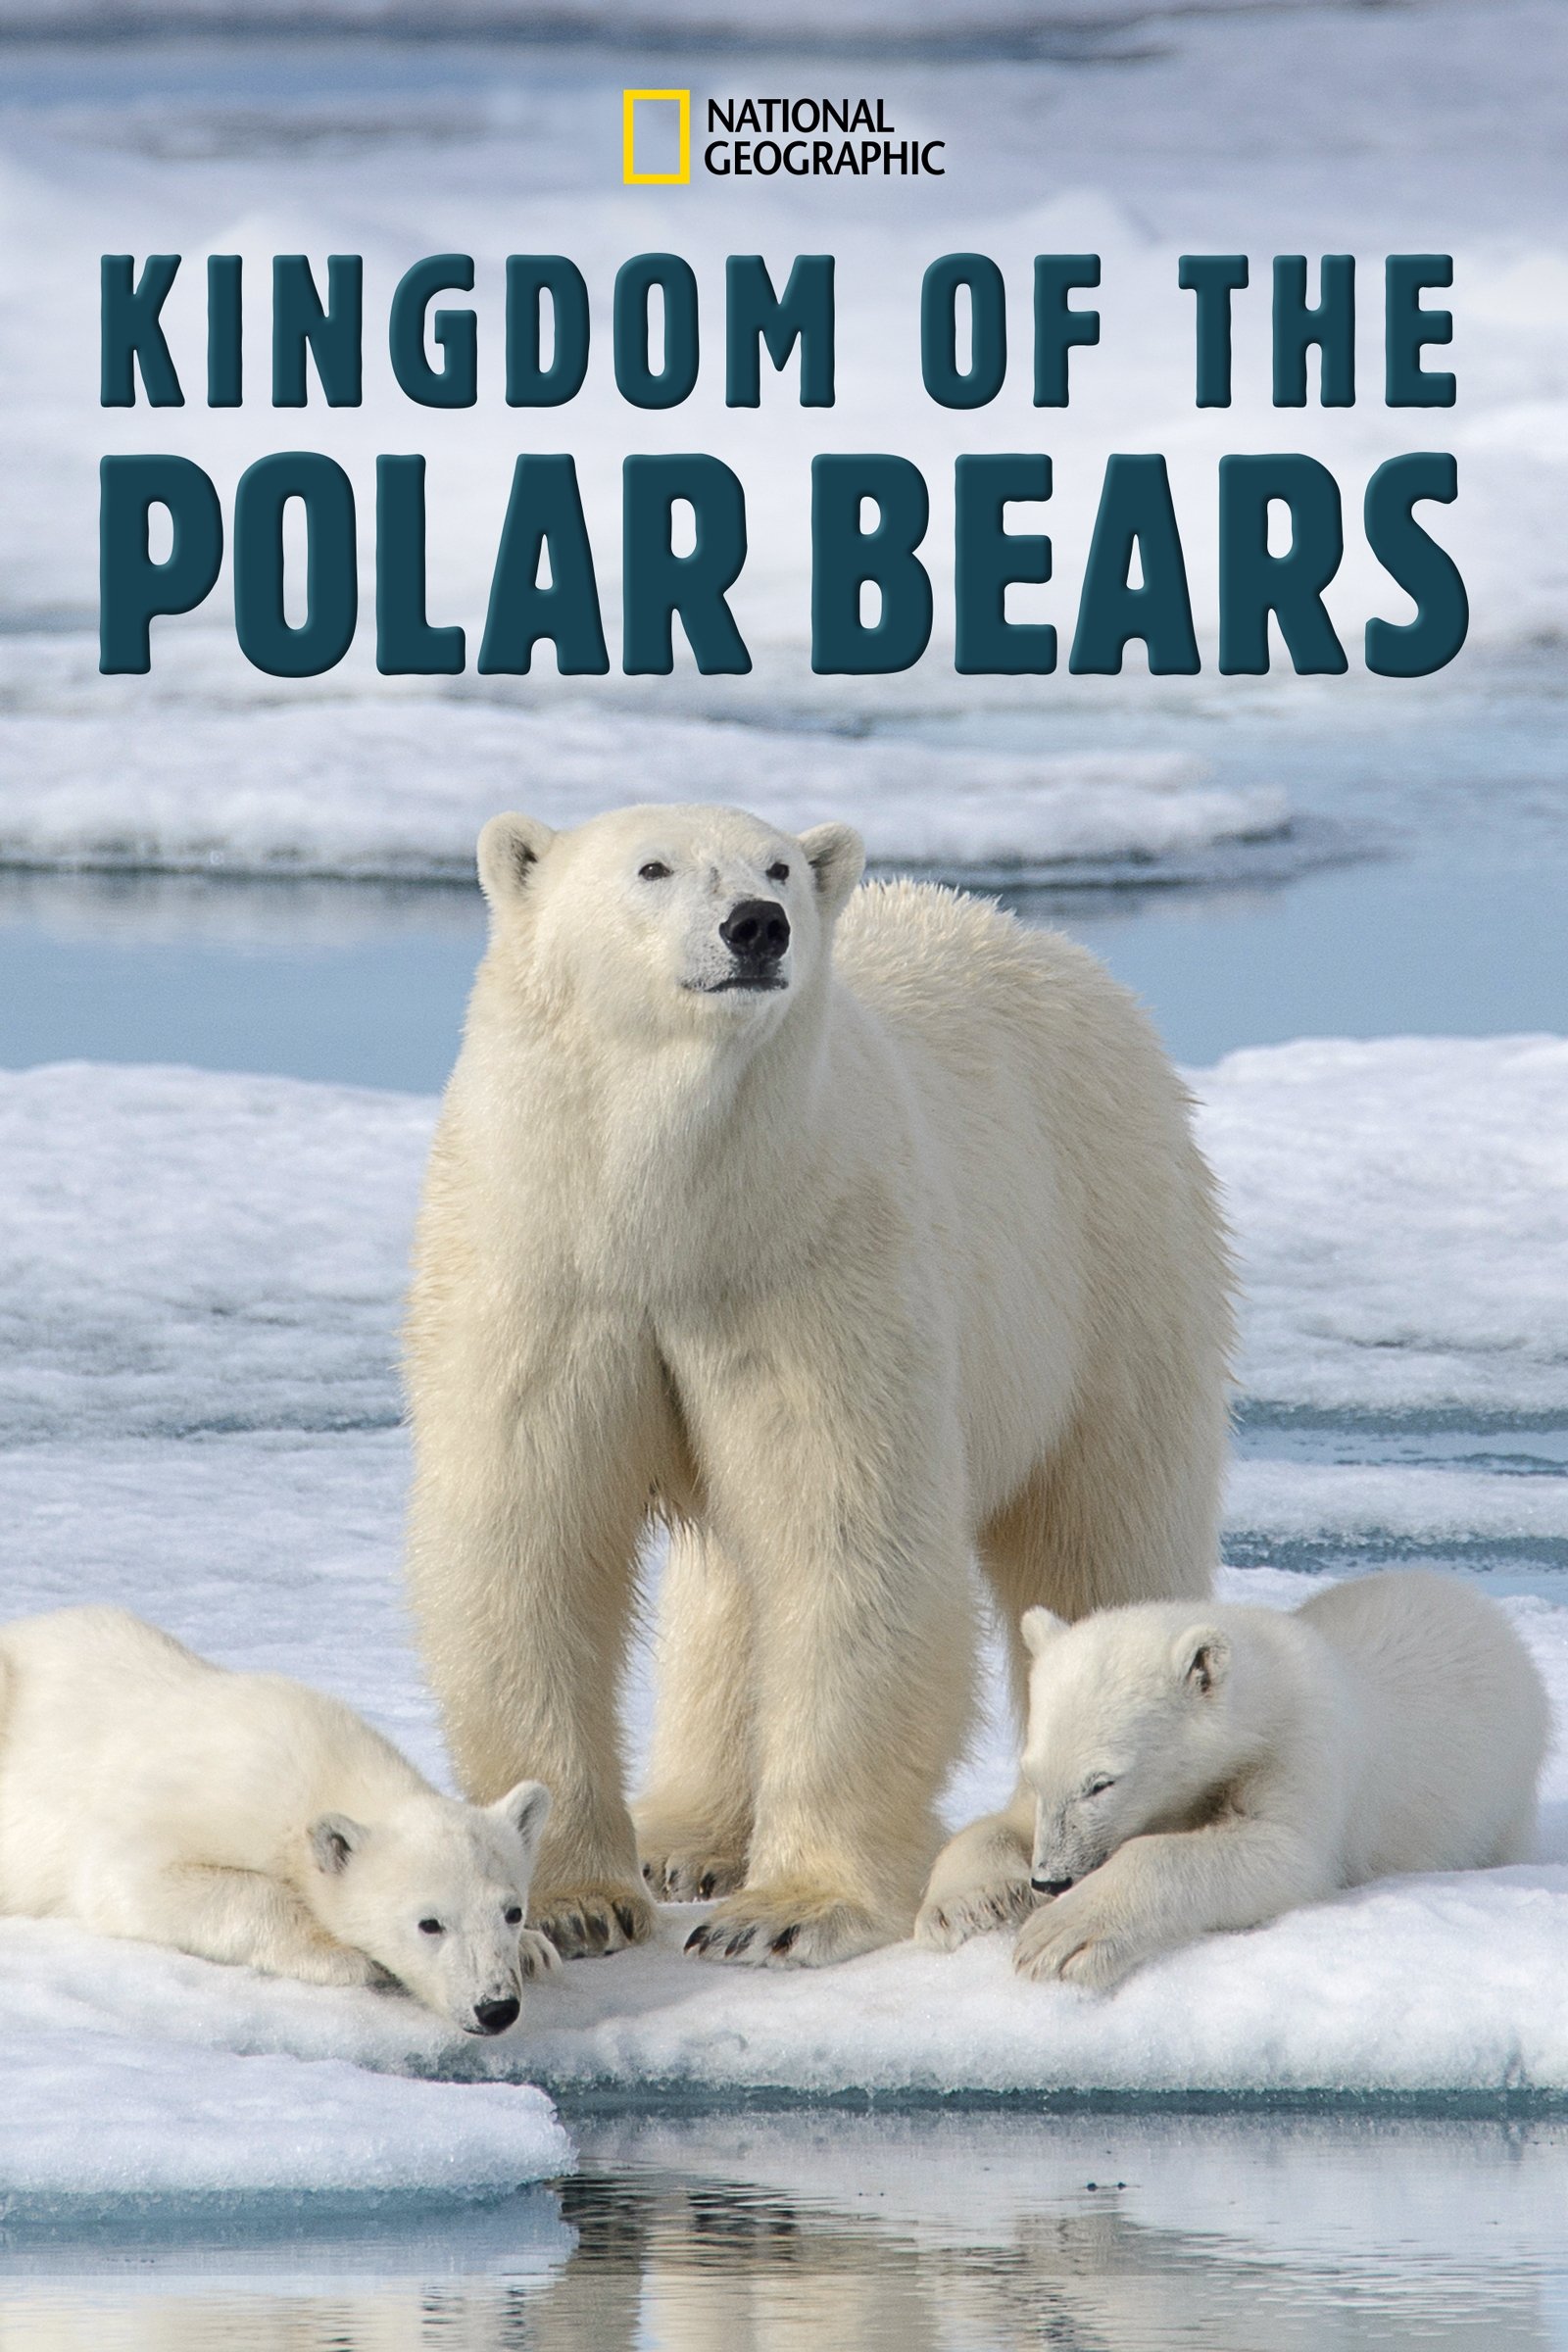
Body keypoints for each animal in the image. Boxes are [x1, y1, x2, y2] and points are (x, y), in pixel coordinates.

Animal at [0, 1606, 555, 2033]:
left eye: (512, 1911)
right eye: (429, 1923)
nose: (496, 2008)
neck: (324, 1766)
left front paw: (536, 1951)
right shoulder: (217, 1798)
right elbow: (127, 1879)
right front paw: (344, 1955)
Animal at [404, 801, 1233, 1968]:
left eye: (779, 865)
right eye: (652, 867)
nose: (757, 925)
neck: (671, 1220)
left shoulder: (814, 1266)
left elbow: (846, 1541)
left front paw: (787, 1912)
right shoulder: (548, 1278)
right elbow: (531, 1542)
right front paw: (571, 1905)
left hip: (1113, 1254)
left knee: (1100, 1525)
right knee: (727, 1594)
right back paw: (688, 1838)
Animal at [919, 1568, 1550, 1990]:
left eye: (1103, 1783)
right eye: (1034, 1772)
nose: (1050, 1879)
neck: (1264, 1692)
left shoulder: (1301, 1749)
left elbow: (1278, 1853)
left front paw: (1060, 1935)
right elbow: (997, 1825)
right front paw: (964, 1906)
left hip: (1502, 1795)